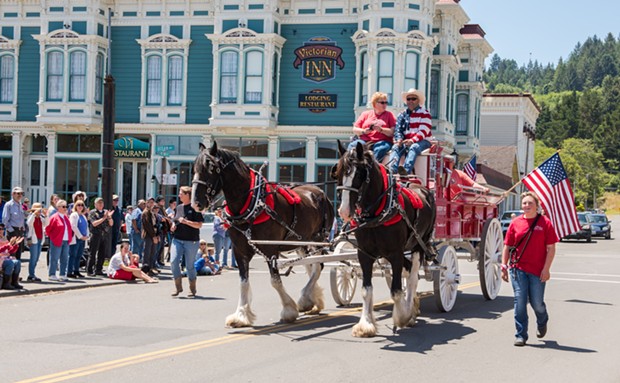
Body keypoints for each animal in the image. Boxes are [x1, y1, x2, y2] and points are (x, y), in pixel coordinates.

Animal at [191, 142, 334, 328]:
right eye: (194, 168)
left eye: (211, 168)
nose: (196, 203)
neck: (252, 203)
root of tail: (320, 191)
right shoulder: (239, 250)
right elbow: (243, 282)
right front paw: (241, 315)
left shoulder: (269, 248)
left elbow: (275, 281)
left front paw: (288, 311)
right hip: (301, 242)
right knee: (311, 267)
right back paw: (311, 299)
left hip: (319, 239)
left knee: (317, 266)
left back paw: (305, 298)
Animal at [334, 142, 436, 340]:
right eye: (338, 172)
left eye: (359, 174)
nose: (344, 211)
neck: (377, 213)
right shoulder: (365, 254)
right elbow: (366, 290)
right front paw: (365, 324)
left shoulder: (395, 253)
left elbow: (396, 290)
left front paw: (403, 316)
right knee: (407, 271)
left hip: (419, 244)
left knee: (412, 276)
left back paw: (410, 310)